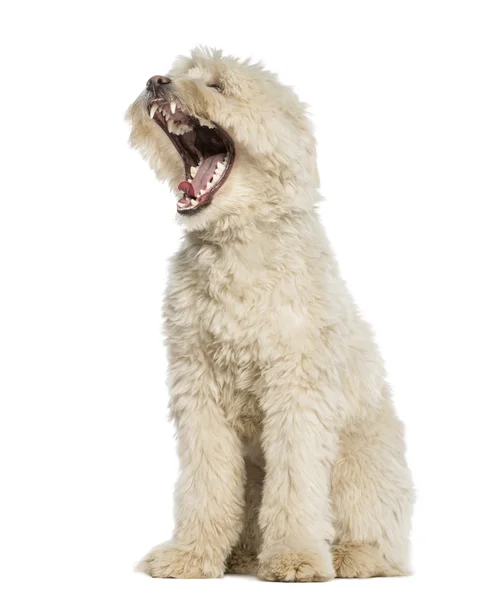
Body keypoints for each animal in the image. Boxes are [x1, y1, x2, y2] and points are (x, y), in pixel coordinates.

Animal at [126, 47, 414, 580]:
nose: (156, 81)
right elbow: (205, 484)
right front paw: (190, 555)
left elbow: (296, 484)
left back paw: (350, 556)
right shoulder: (198, 390)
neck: (237, 244)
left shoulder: (297, 392)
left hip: (361, 465)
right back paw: (241, 554)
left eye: (217, 86)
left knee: (381, 542)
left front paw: (296, 557)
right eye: (178, 73)